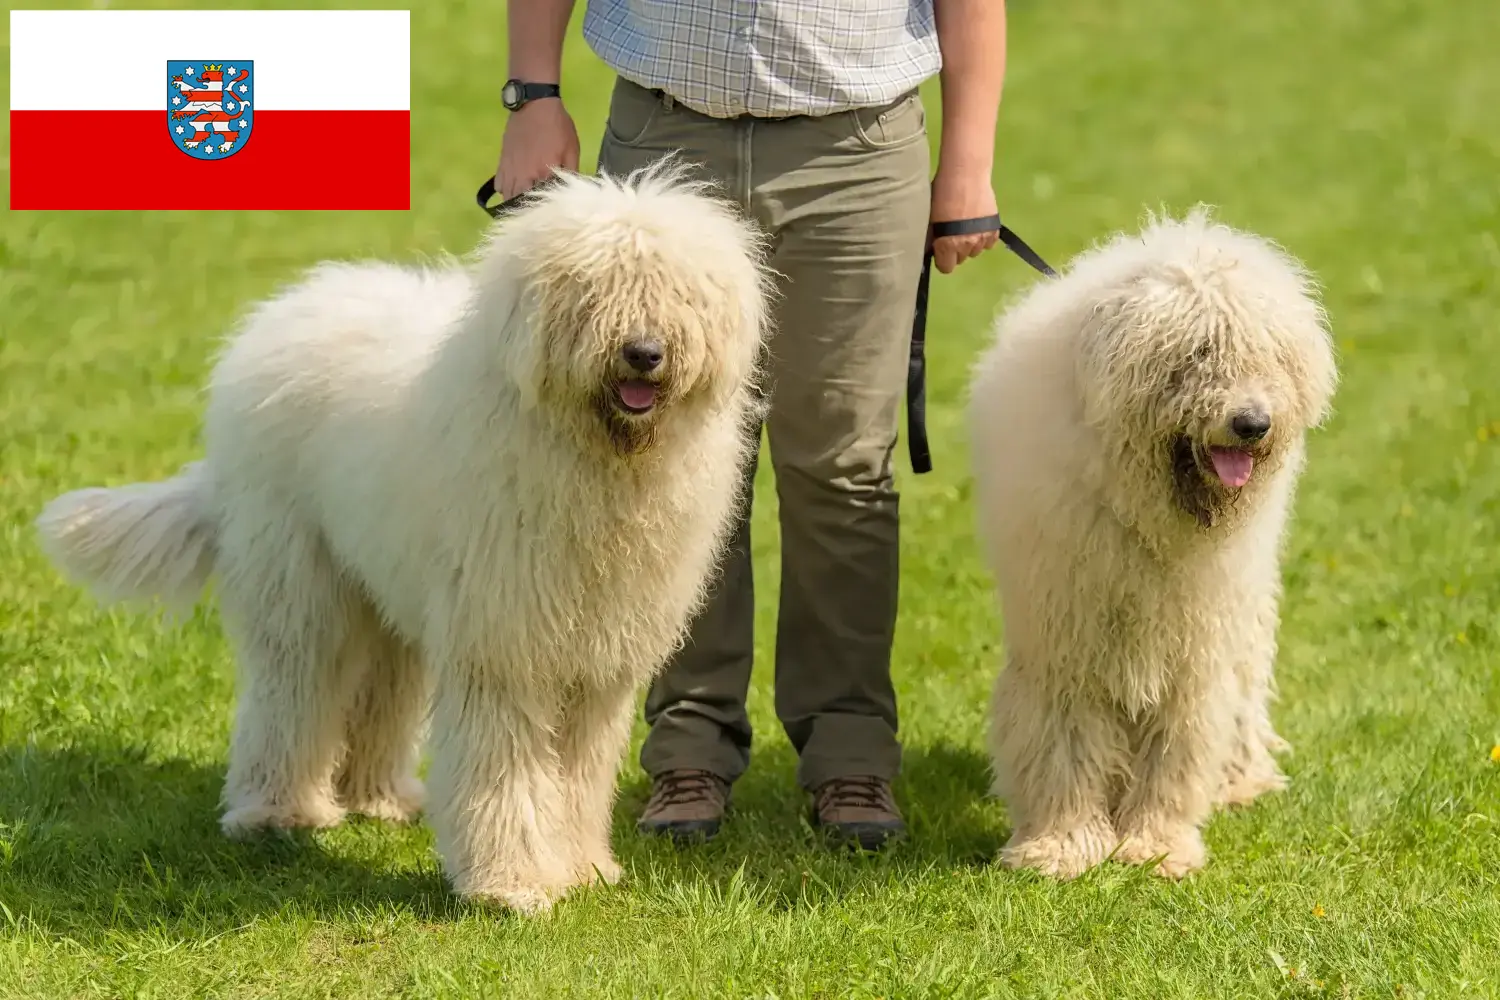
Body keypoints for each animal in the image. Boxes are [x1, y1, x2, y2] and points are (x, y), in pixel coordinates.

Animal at [38, 162, 774, 917]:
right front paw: (511, 886)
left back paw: (378, 798)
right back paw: (274, 812)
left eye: (679, 293)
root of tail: (281, 314)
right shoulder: (503, 645)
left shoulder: (596, 660)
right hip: (298, 577)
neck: (595, 459)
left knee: (382, 689)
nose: (644, 354)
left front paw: (581, 868)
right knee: (291, 689)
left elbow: (577, 773)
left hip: (388, 583)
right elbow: (505, 768)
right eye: (595, 292)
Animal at [972, 209, 1338, 875]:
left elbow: (1177, 747)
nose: (1252, 423)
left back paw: (1240, 780)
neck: (1149, 515)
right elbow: (1062, 738)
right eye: (1196, 351)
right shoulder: (1066, 633)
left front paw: (1155, 846)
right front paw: (1062, 845)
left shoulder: (1193, 647)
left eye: (1268, 354)